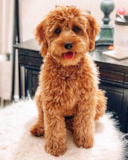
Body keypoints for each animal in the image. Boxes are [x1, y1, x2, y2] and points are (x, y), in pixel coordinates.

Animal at [29, 5, 106, 156]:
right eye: (57, 31)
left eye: (76, 29)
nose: (68, 44)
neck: (68, 69)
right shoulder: (51, 102)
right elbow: (54, 127)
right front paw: (55, 148)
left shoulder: (87, 100)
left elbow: (84, 122)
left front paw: (84, 141)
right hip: (39, 95)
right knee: (41, 117)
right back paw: (39, 128)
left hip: (99, 98)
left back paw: (72, 125)